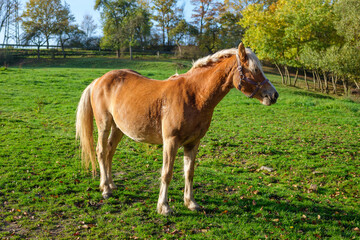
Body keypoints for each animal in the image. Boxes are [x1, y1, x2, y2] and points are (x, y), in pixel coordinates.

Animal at [76, 42, 278, 216]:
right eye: (254, 70)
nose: (273, 95)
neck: (194, 95)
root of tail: (99, 80)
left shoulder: (193, 143)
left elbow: (189, 173)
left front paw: (191, 203)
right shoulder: (171, 142)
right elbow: (167, 173)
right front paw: (164, 207)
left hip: (118, 128)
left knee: (109, 152)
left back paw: (111, 185)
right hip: (104, 125)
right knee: (101, 151)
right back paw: (105, 189)